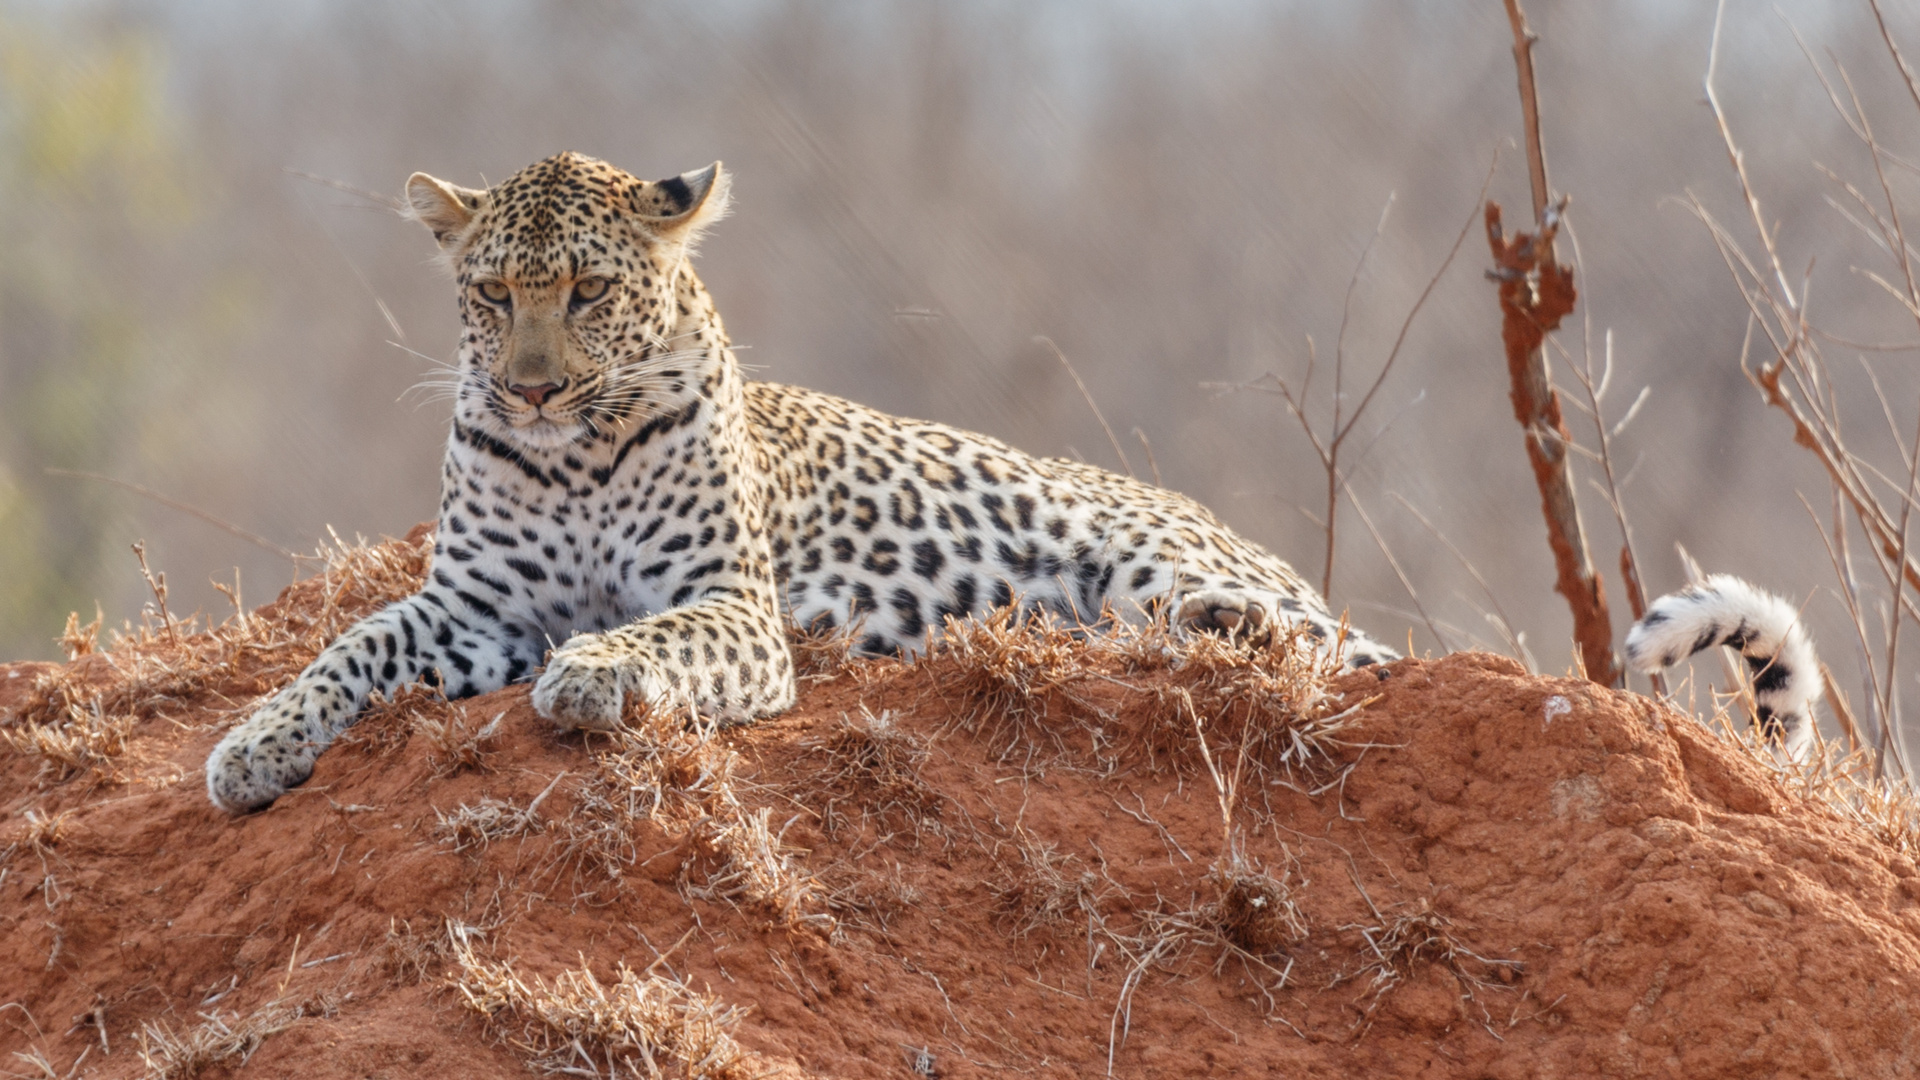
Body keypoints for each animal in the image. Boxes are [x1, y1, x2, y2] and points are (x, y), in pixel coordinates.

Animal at [202, 148, 1405, 807]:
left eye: (590, 291)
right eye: (493, 294)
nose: (531, 390)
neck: (575, 458)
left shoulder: (731, 602)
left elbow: (656, 634)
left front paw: (592, 673)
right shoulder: (470, 606)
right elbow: (346, 649)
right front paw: (254, 746)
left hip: (1160, 563)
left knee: (1332, 646)